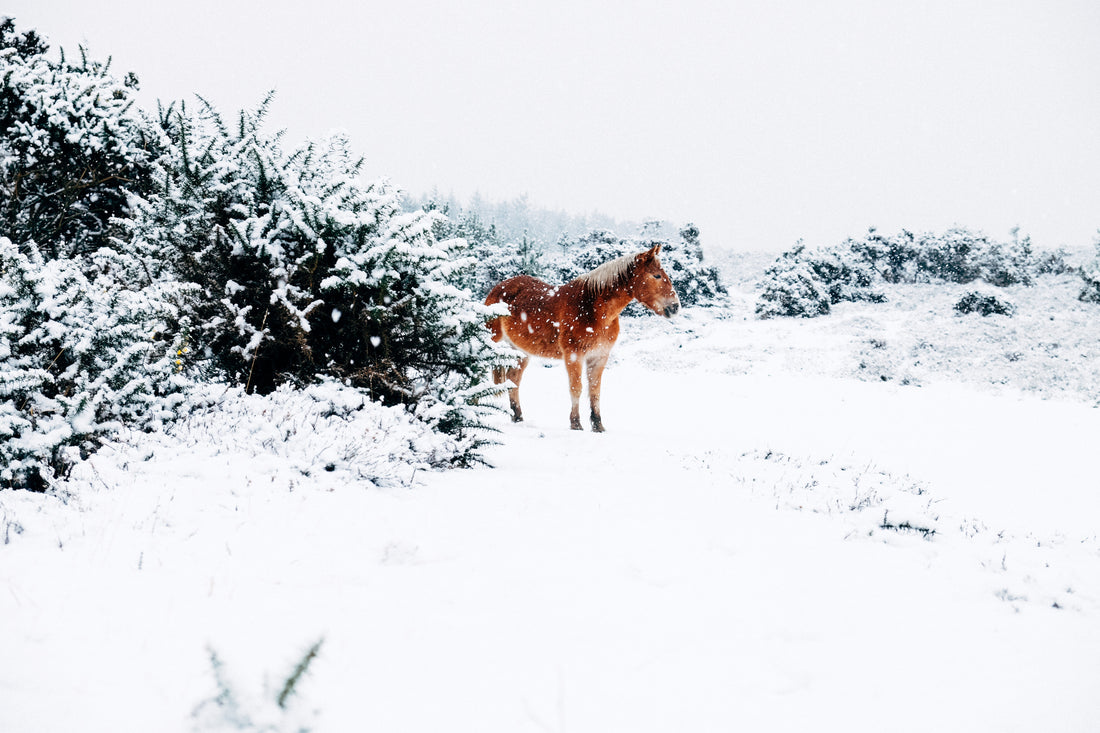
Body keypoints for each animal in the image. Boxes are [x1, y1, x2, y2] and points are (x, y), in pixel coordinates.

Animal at [485, 244, 681, 432]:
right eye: (656, 275)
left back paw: (517, 416)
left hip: (521, 351)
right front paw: (576, 424)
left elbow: (594, 391)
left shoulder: (599, 357)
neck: (593, 309)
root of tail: (498, 288)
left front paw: (598, 425)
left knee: (513, 379)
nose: (675, 307)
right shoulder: (574, 355)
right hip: (491, 343)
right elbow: (576, 388)